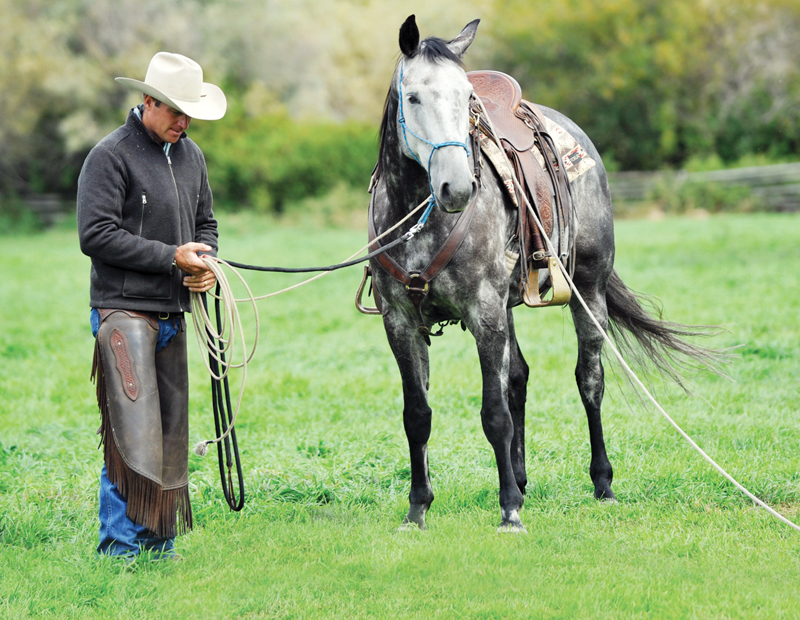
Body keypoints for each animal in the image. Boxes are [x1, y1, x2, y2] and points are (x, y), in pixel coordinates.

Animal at [367, 15, 717, 532]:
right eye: (413, 98)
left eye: (466, 97)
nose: (458, 187)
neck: (419, 218)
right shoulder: (401, 321)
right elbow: (418, 415)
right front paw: (418, 509)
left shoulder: (484, 313)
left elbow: (494, 414)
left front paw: (509, 511)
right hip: (508, 307)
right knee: (518, 379)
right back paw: (522, 479)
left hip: (587, 291)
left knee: (589, 381)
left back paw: (602, 484)